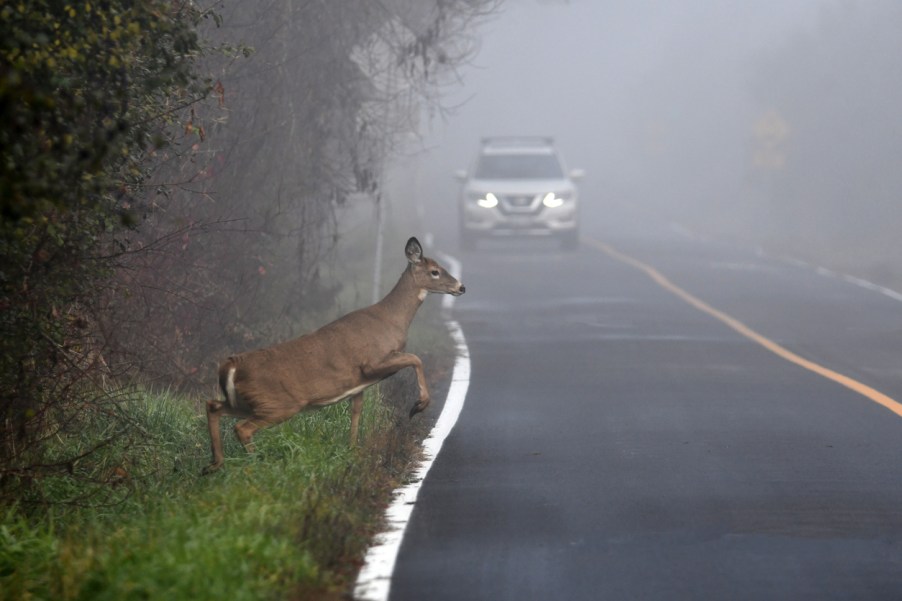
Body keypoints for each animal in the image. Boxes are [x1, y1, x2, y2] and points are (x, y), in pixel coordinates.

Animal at [202, 237, 465, 474]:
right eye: (435, 272)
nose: (461, 287)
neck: (392, 320)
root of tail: (231, 366)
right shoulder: (371, 362)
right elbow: (415, 358)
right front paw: (418, 406)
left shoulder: (359, 384)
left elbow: (356, 414)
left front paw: (352, 452)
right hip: (279, 403)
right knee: (242, 428)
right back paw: (256, 465)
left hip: (249, 402)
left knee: (214, 406)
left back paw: (214, 464)